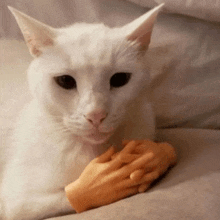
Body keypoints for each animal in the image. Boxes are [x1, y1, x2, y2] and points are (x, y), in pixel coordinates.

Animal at [1, 3, 163, 220]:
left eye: (120, 79)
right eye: (65, 81)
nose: (96, 114)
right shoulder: (18, 202)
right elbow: (75, 195)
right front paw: (108, 184)